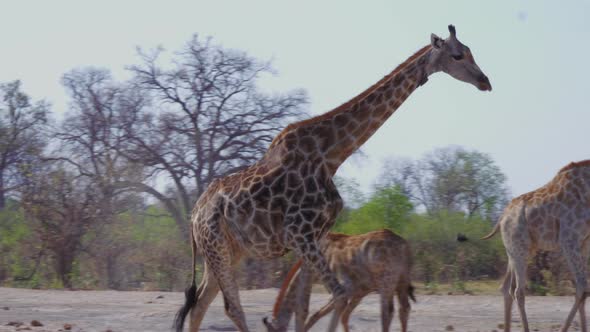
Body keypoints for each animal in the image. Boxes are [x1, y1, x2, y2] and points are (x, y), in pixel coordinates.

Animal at [266, 230, 418, 332]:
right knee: (404, 308)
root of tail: (405, 246)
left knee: (387, 312)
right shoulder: (358, 291)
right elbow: (341, 316)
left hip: (386, 281)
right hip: (401, 281)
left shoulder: (345, 287)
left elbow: (316, 314)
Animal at [486, 160, 590, 330]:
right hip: (519, 249)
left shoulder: (584, 243)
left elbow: (582, 289)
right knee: (518, 291)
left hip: (516, 251)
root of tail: (502, 217)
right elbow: (582, 287)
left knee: (506, 288)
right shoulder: (568, 240)